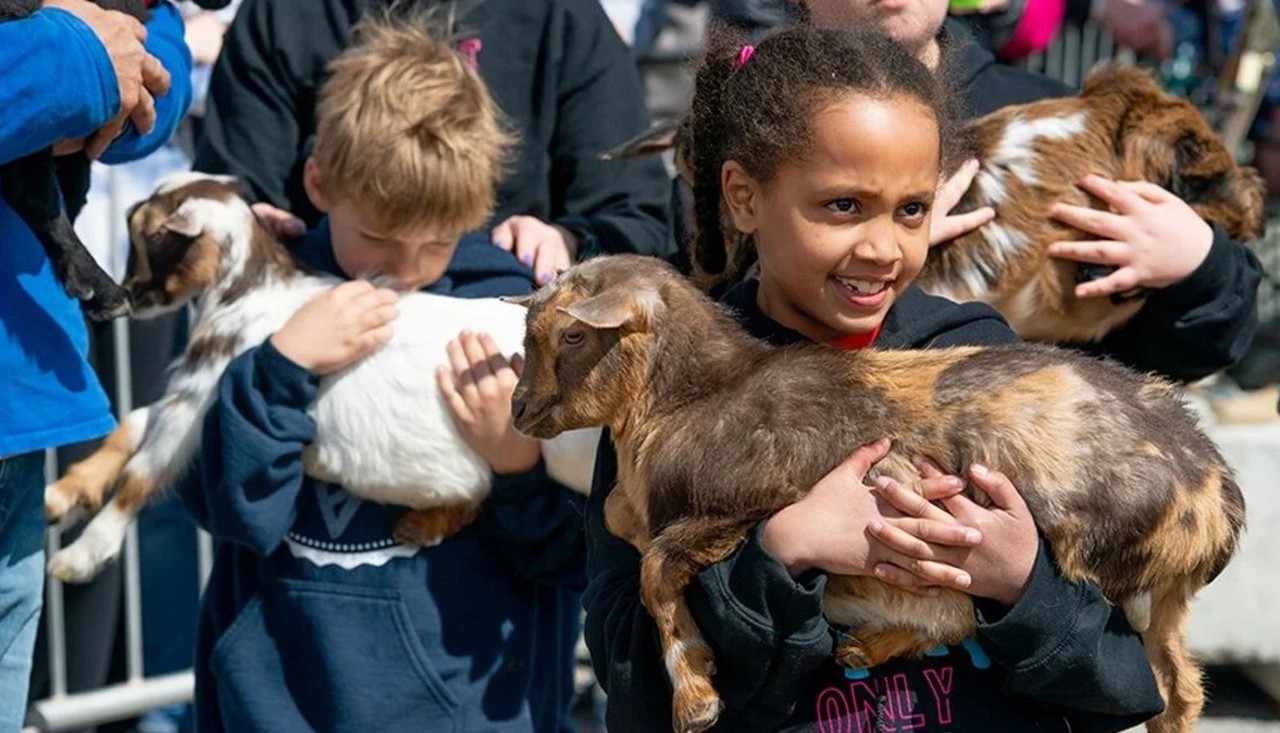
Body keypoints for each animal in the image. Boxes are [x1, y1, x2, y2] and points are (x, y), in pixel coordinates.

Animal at [41, 171, 599, 583]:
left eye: (147, 236)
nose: (123, 299)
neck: (248, 291)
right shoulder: (195, 394)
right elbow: (133, 422)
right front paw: (62, 496)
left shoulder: (197, 398)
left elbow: (143, 473)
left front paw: (78, 558)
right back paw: (422, 523)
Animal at [512, 254, 1249, 731]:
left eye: (573, 333)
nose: (519, 408)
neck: (691, 399)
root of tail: (1214, 485)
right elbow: (622, 526)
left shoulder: (738, 504)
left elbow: (657, 568)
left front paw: (695, 697)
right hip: (1164, 599)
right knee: (1178, 687)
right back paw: (865, 646)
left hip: (1105, 559)